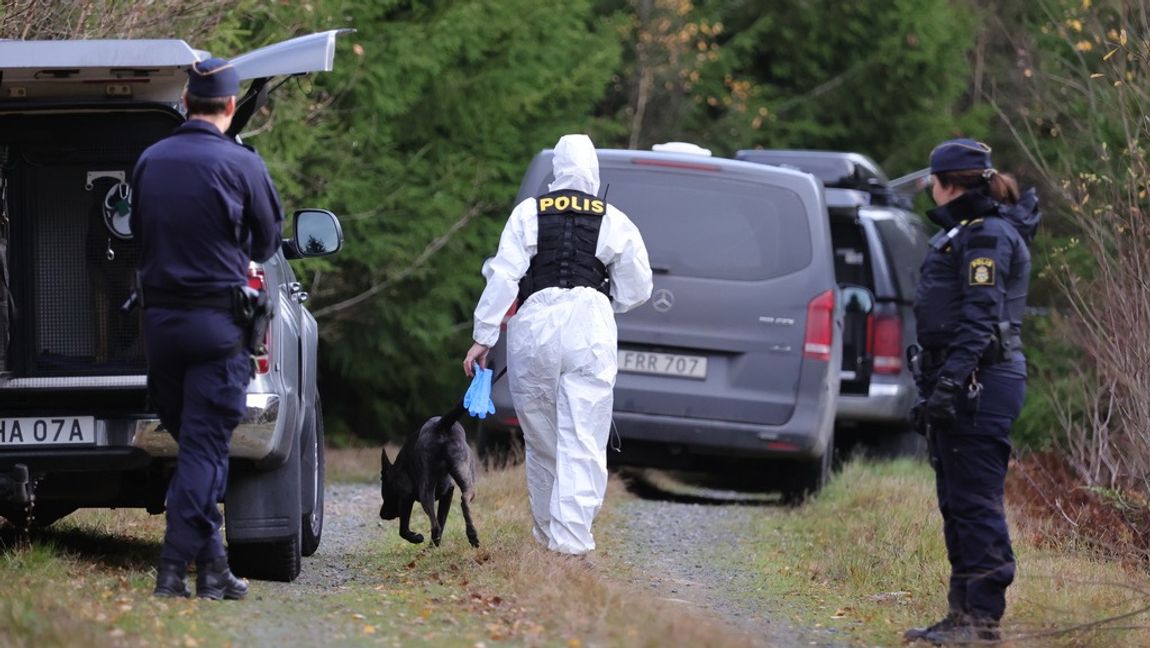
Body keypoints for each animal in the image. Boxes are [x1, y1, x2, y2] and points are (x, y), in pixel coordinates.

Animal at [379, 405, 478, 547]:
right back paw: (472, 535)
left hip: (425, 492)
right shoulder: (448, 492)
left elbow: (403, 530)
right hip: (465, 474)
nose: (382, 514)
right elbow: (442, 522)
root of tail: (441, 425)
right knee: (463, 501)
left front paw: (416, 538)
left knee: (435, 525)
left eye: (384, 493)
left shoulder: (406, 496)